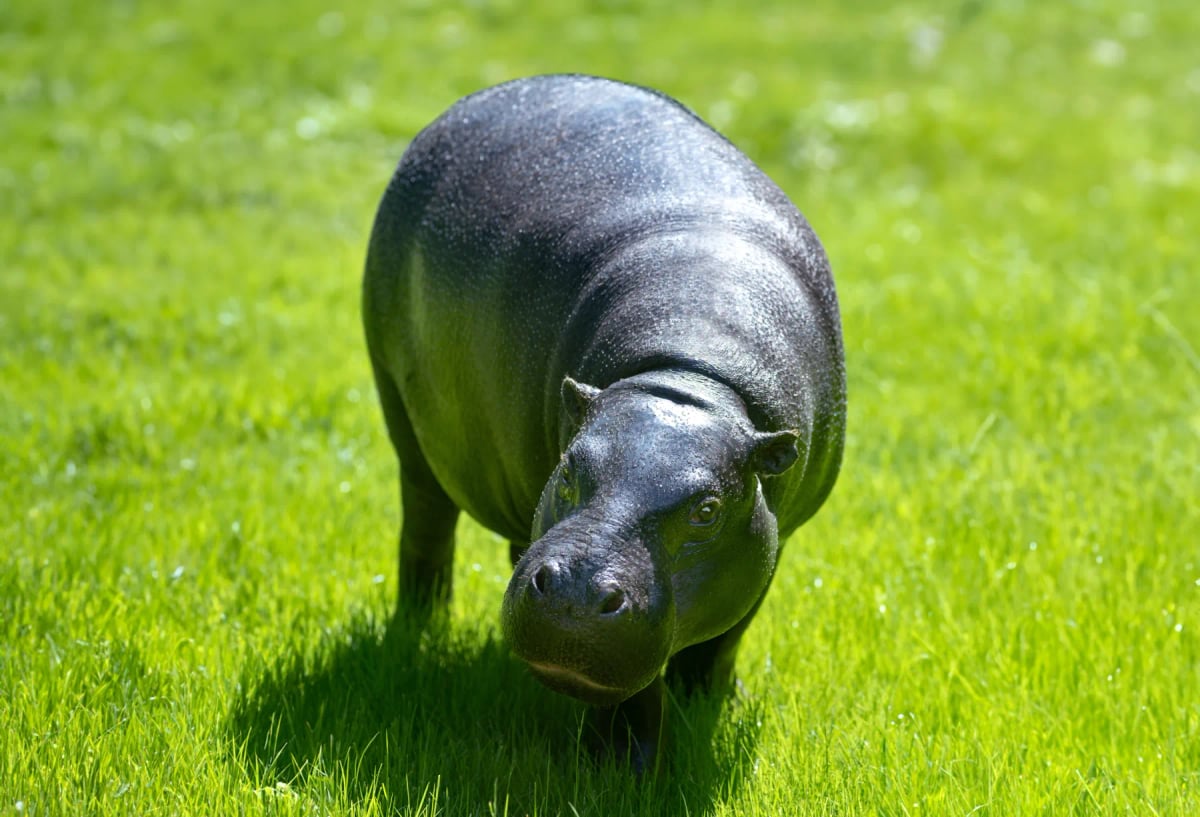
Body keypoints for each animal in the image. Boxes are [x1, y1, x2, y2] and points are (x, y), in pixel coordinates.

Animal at [362, 74, 845, 770]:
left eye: (708, 510)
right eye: (569, 467)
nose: (574, 593)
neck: (689, 381)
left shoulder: (772, 543)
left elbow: (725, 636)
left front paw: (711, 702)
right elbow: (634, 691)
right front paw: (624, 766)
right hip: (404, 422)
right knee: (426, 527)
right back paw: (420, 631)